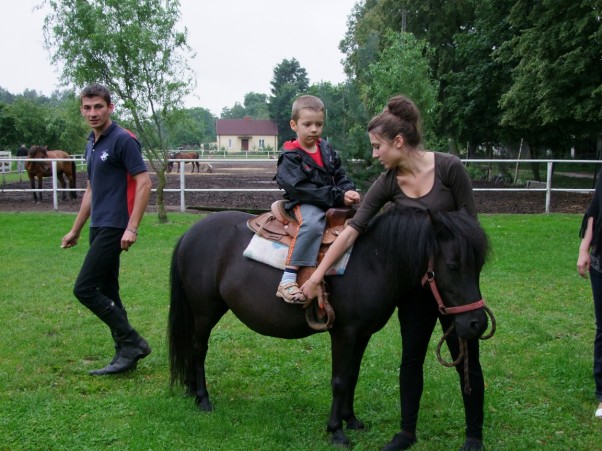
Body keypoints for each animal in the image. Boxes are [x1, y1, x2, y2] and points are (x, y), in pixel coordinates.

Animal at [168, 207, 488, 446]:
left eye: (479, 265)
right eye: (454, 265)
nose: (477, 323)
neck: (374, 260)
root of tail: (191, 233)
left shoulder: (362, 334)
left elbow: (352, 376)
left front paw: (351, 419)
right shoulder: (344, 333)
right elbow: (339, 380)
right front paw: (336, 431)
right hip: (205, 311)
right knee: (198, 349)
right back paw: (203, 399)